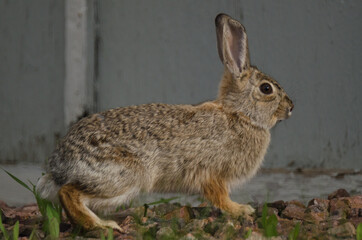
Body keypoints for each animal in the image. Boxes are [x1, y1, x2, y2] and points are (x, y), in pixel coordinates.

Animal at [35, 14, 292, 232]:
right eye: (266, 89)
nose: (291, 108)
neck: (240, 114)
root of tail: (59, 166)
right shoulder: (212, 173)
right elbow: (219, 196)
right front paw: (240, 209)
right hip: (125, 176)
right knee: (69, 193)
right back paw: (103, 225)